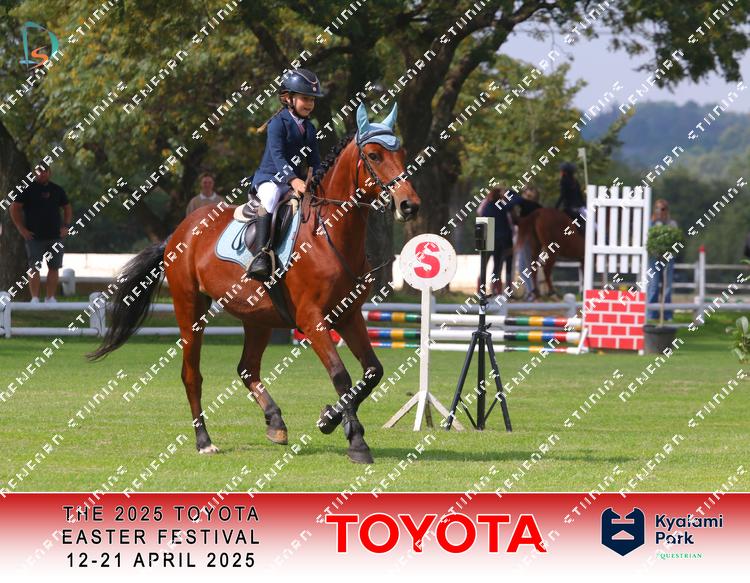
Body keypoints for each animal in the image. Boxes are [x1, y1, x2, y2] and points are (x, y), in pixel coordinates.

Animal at [89, 103, 421, 464]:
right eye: (373, 155)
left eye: (402, 152)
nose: (409, 205)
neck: (330, 234)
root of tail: (178, 232)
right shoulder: (312, 319)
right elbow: (340, 374)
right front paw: (356, 441)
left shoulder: (348, 316)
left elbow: (373, 372)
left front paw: (329, 419)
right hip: (190, 309)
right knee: (192, 375)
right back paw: (204, 441)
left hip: (258, 318)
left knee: (247, 368)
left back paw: (275, 422)